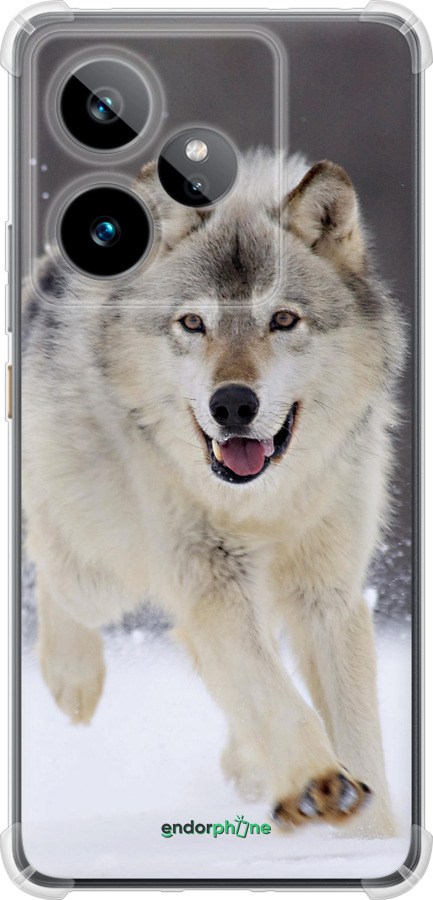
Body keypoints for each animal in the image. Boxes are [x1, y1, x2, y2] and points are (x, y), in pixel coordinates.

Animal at [22, 151, 404, 837]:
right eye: (193, 323)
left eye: (283, 319)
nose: (232, 404)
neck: (263, 503)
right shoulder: (211, 581)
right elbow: (274, 695)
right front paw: (318, 783)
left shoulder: (327, 593)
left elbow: (357, 732)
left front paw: (372, 838)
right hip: (103, 571)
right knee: (50, 559)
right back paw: (74, 679)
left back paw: (249, 767)